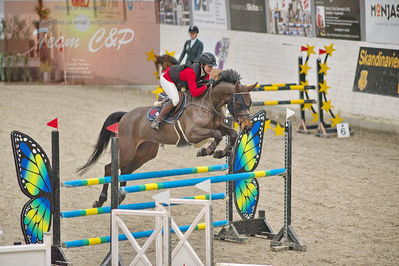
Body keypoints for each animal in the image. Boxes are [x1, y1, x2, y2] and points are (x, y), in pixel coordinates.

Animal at [77, 69, 258, 207]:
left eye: (250, 103)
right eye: (239, 103)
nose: (247, 126)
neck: (208, 103)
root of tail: (125, 116)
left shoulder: (218, 126)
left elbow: (231, 133)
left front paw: (222, 153)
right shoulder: (192, 134)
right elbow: (217, 135)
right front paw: (207, 150)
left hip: (145, 153)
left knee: (126, 171)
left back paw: (120, 196)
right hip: (127, 149)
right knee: (109, 168)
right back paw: (100, 200)